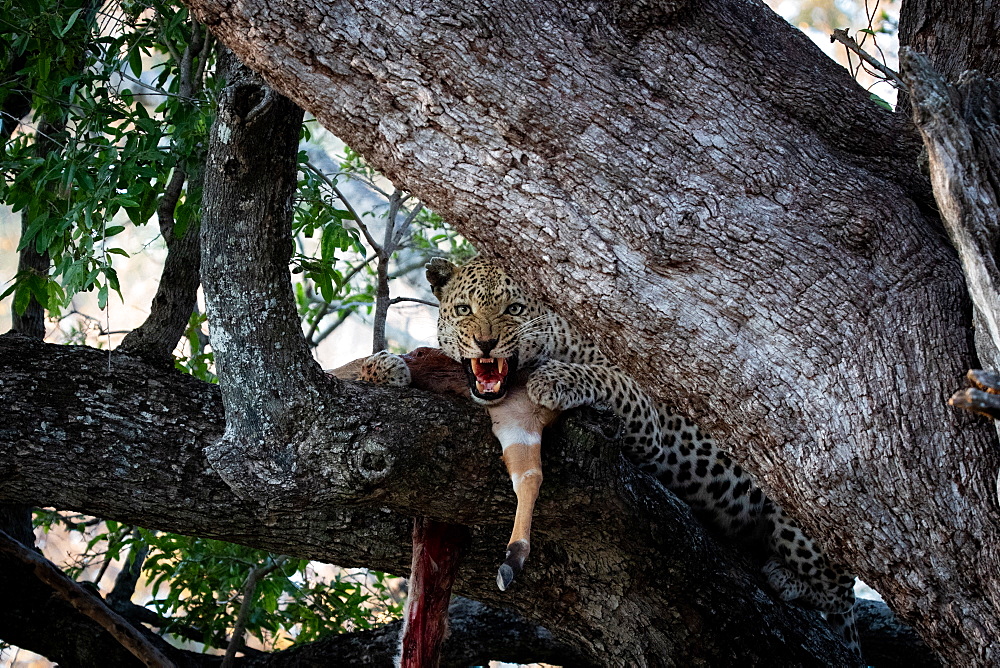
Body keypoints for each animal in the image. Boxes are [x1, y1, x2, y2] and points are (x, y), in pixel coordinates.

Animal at [360, 254, 860, 652]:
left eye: (513, 309)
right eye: (464, 310)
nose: (485, 342)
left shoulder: (648, 414)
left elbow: (605, 378)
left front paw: (554, 379)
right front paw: (379, 366)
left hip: (801, 518)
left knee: (841, 592)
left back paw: (787, 576)